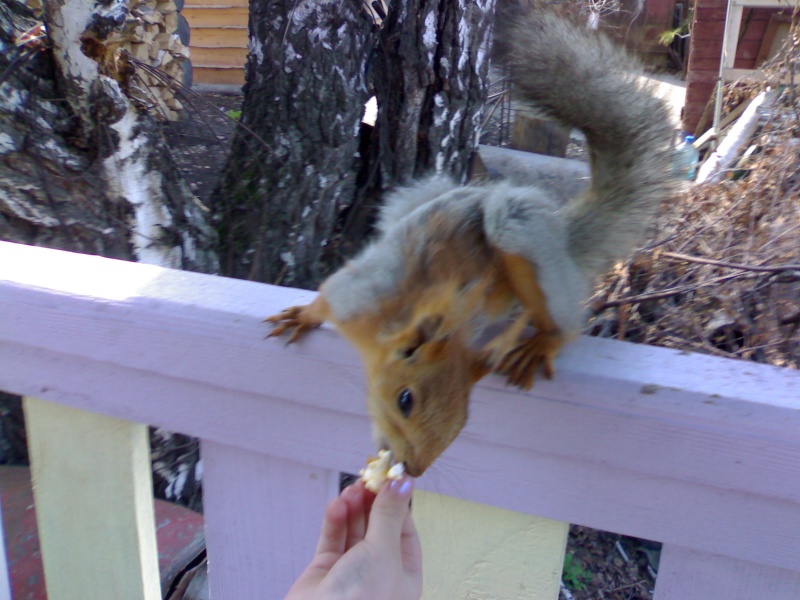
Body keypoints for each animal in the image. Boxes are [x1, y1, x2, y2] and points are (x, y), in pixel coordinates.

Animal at [267, 9, 676, 477]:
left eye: (464, 418)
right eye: (405, 400)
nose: (414, 470)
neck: (384, 333)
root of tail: (562, 233)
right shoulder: (356, 295)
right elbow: (325, 298)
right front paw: (303, 316)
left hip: (520, 234)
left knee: (562, 318)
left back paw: (545, 339)